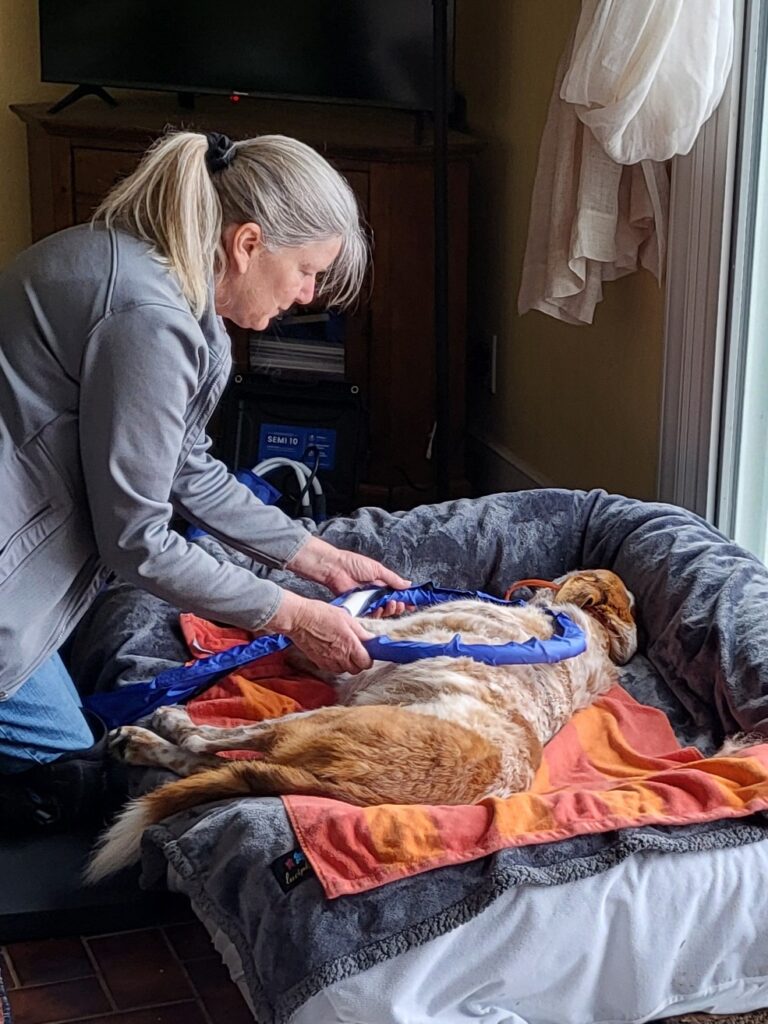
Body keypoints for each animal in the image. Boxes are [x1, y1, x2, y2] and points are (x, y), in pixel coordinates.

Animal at [85, 569, 638, 880]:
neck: (592, 636)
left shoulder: (364, 641)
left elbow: (301, 623)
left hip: (313, 719)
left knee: (208, 741)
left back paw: (155, 725)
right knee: (212, 765)